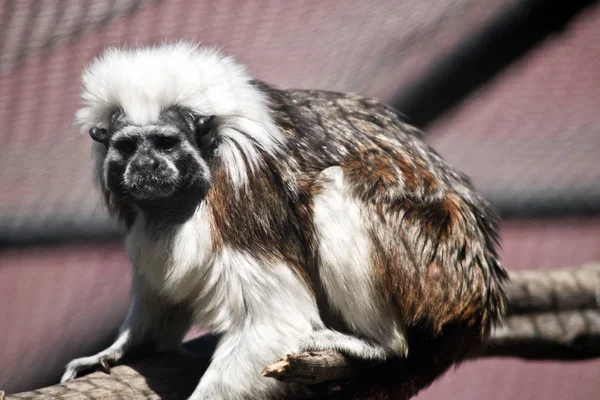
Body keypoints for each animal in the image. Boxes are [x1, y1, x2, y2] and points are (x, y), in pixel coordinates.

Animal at [61, 41, 508, 400]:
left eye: (166, 144)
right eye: (128, 147)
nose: (146, 166)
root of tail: (482, 287)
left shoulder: (244, 193)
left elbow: (274, 324)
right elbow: (157, 287)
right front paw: (125, 347)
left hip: (434, 260)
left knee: (336, 187)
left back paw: (378, 343)